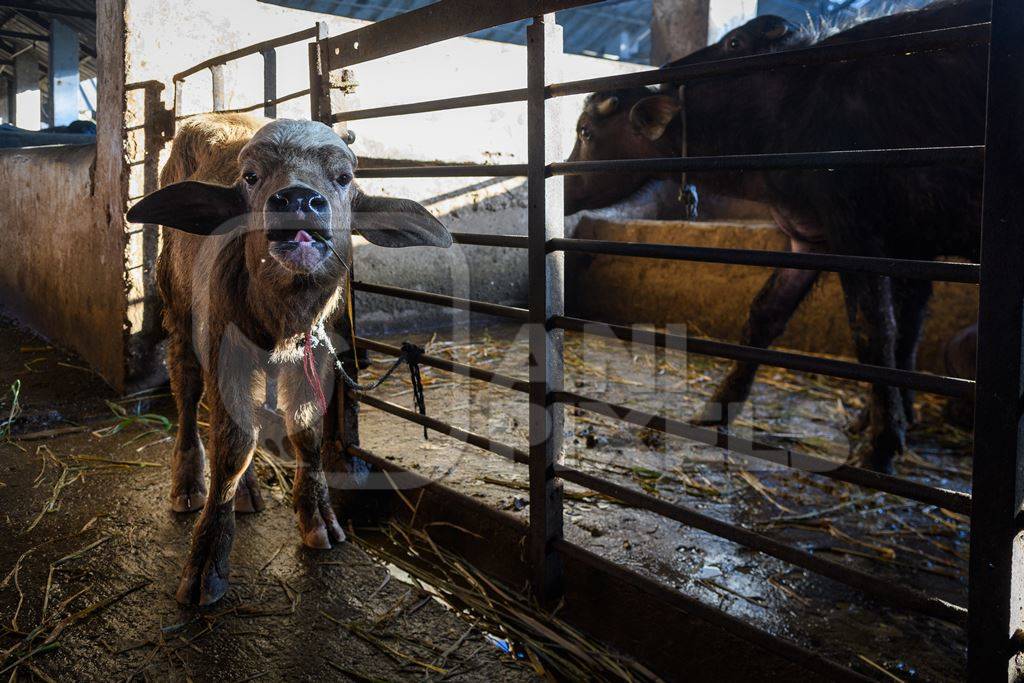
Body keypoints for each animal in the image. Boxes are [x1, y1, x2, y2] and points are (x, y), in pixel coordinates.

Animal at [565, 0, 987, 473]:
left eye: (585, 132)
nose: (561, 188)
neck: (787, 115)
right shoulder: (815, 240)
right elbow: (767, 313)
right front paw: (718, 406)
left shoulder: (857, 235)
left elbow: (875, 331)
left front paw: (882, 443)